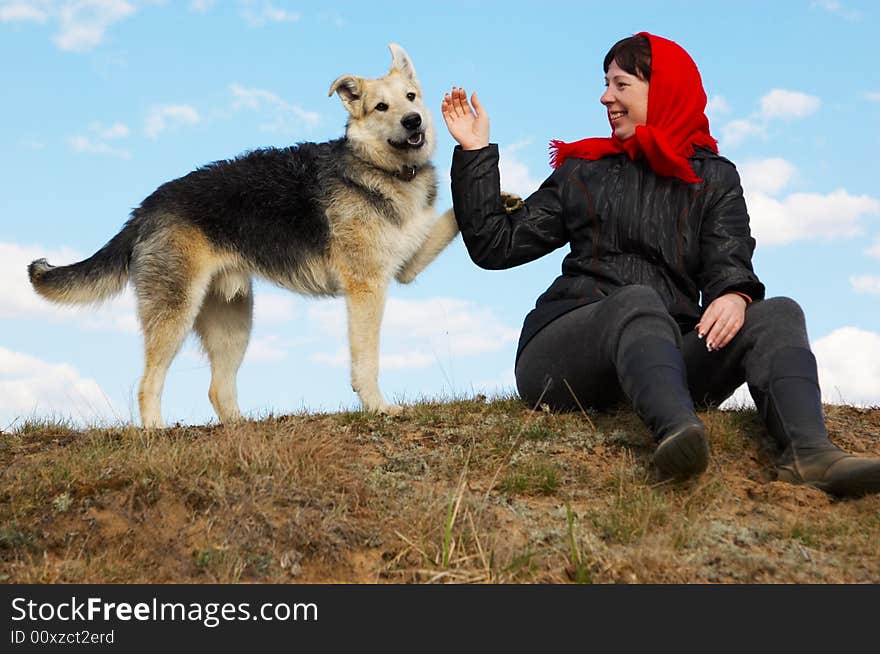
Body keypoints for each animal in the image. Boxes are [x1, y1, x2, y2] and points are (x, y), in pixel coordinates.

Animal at [25, 43, 460, 428]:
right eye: (381, 107)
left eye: (411, 97)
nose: (414, 121)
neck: (379, 166)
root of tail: (144, 209)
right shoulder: (366, 289)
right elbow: (366, 360)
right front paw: (377, 407)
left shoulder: (405, 268)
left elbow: (453, 216)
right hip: (175, 314)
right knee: (148, 384)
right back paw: (154, 433)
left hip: (233, 321)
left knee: (218, 389)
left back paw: (239, 427)